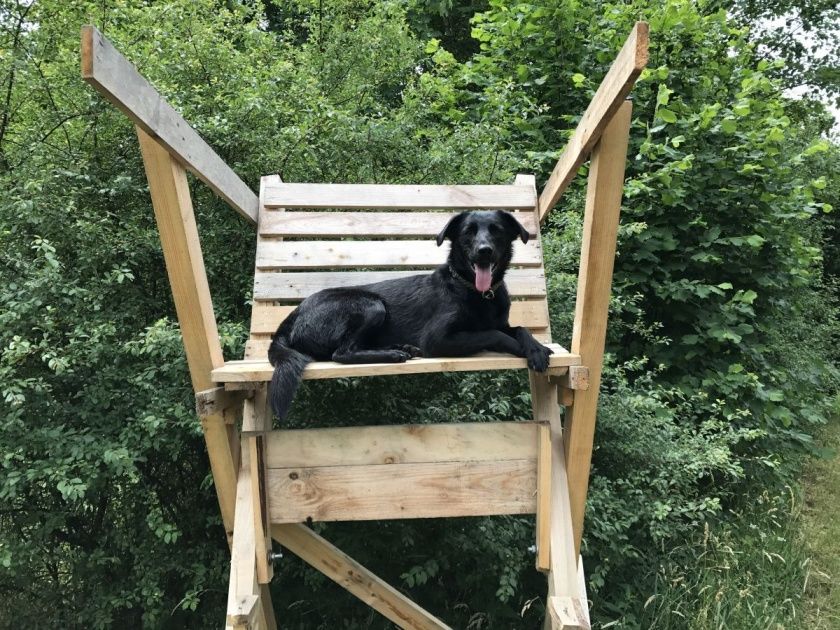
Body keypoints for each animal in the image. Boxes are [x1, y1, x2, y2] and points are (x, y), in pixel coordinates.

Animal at [270, 210, 556, 422]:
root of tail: (290, 318)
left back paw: (402, 348)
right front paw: (524, 350)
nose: (484, 250)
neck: (474, 290)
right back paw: (392, 354)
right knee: (341, 353)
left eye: (496, 230)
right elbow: (494, 334)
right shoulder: (438, 339)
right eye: (468, 232)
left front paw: (536, 347)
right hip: (371, 305)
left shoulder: (502, 322)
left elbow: (519, 328)